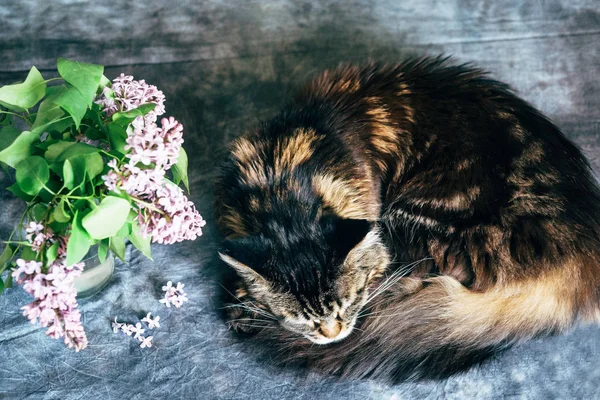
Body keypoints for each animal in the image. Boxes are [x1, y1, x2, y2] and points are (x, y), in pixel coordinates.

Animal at [213, 56, 596, 382]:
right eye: (296, 316)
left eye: (351, 298)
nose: (331, 333)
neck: (280, 178)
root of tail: (578, 263)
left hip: (417, 221)